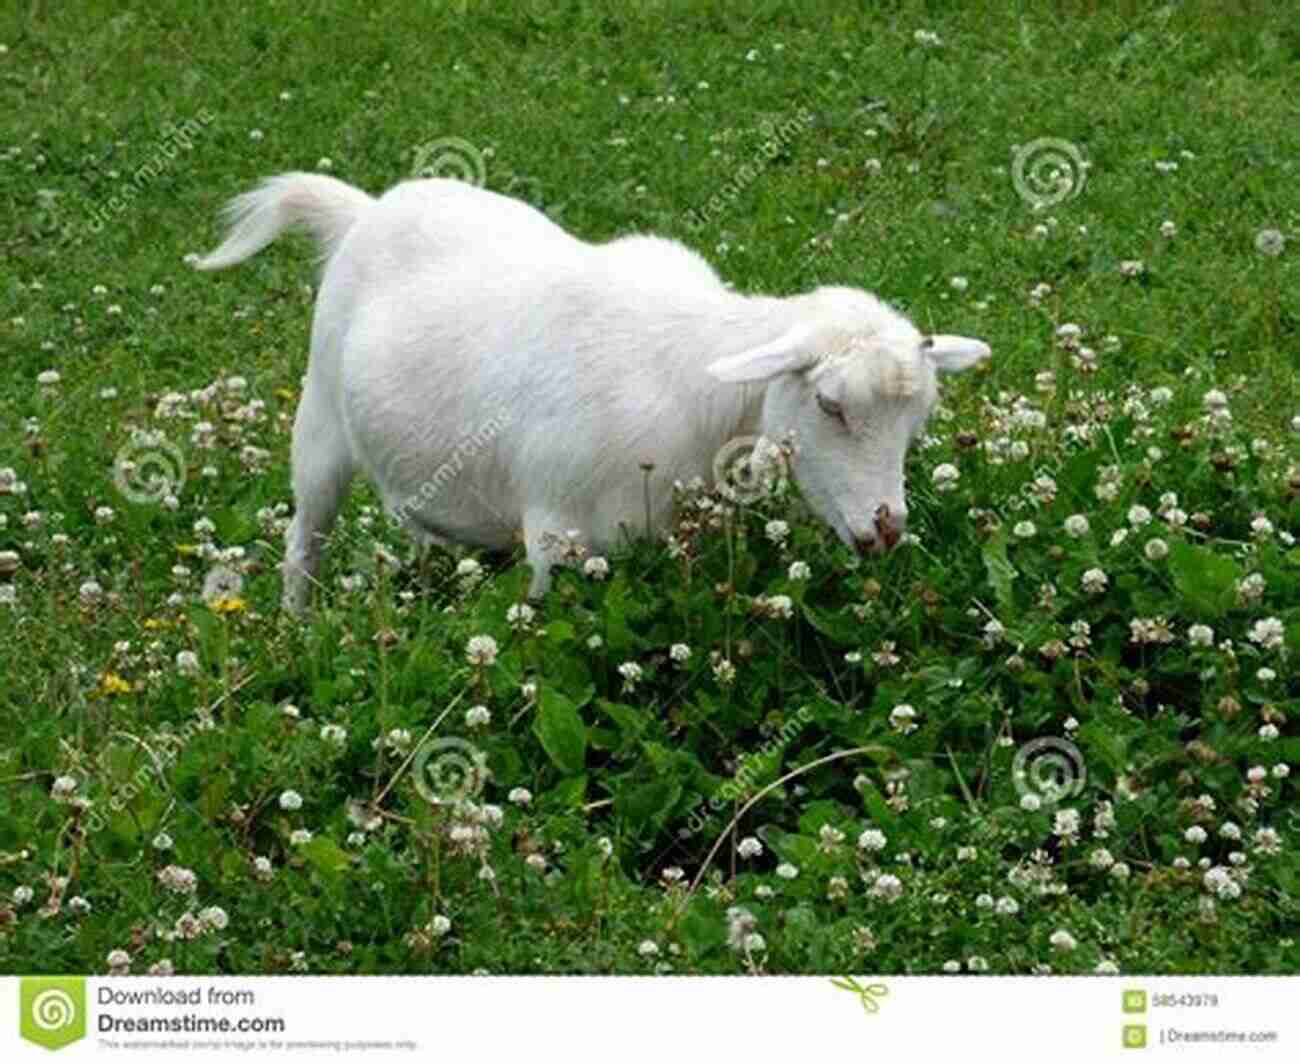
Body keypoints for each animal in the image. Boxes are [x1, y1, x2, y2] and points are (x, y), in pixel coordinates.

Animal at [195, 170, 982, 608]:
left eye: (916, 425)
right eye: (828, 405)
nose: (887, 528)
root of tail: (365, 210)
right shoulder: (558, 537)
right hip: (321, 417)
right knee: (305, 537)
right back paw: (297, 623)